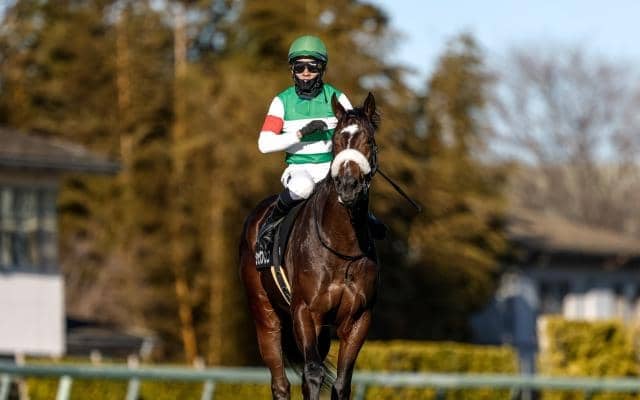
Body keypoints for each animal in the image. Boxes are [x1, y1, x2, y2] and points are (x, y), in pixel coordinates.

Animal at [239, 92, 380, 400]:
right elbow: (313, 374)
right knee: (281, 382)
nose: (348, 186)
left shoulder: (359, 318)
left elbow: (341, 383)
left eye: (368, 140)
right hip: (265, 314)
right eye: (337, 140)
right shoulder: (305, 311)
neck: (342, 247)